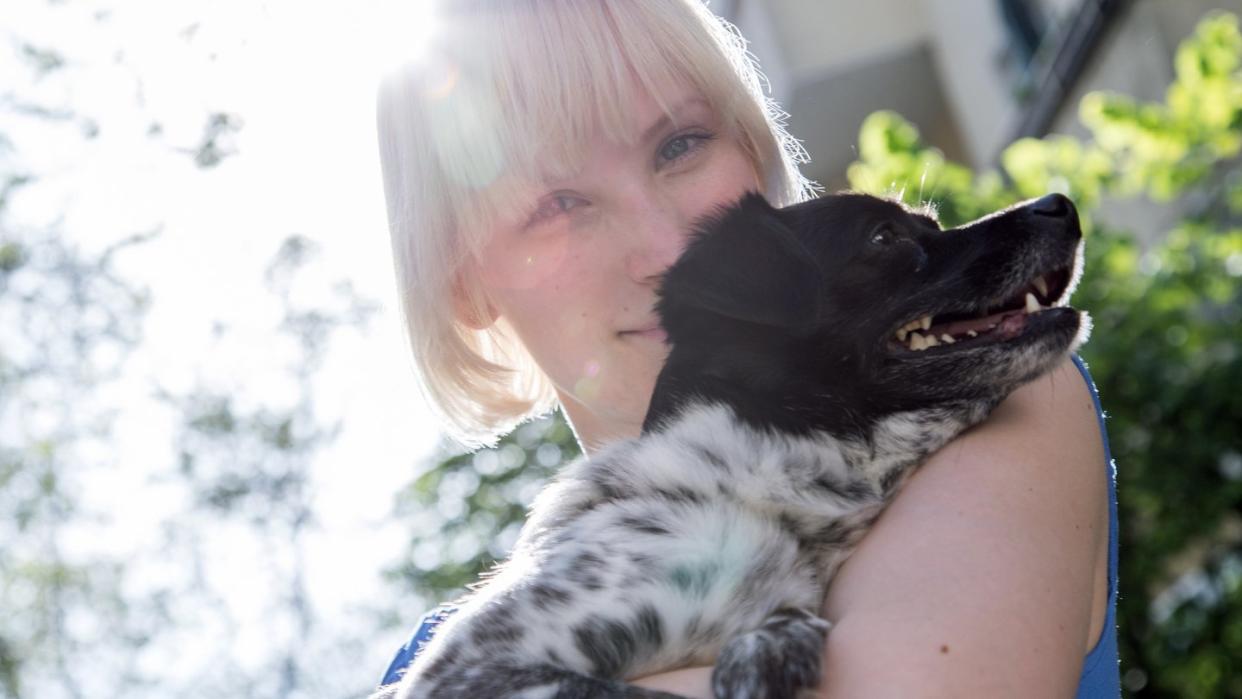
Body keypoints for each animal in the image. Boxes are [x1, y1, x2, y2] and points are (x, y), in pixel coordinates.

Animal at [375, 191, 1087, 699]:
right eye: (883, 237)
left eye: (930, 224)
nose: (1062, 203)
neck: (760, 489)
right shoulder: (469, 670)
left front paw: (770, 645)